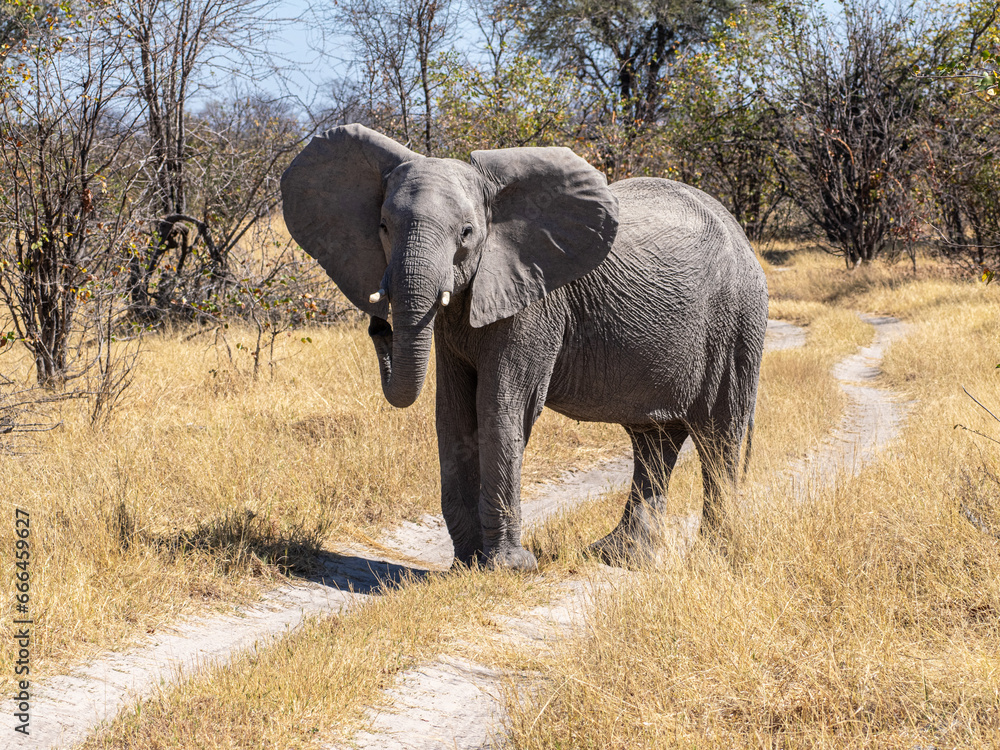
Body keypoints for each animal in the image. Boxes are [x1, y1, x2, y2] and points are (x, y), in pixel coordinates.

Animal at [281, 124, 768, 571]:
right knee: (654, 440)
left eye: (467, 233)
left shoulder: (534, 300)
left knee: (720, 437)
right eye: (382, 227)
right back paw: (621, 558)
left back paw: (714, 558)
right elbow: (453, 412)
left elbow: (501, 406)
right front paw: (466, 566)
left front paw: (509, 568)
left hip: (737, 322)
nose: (378, 324)